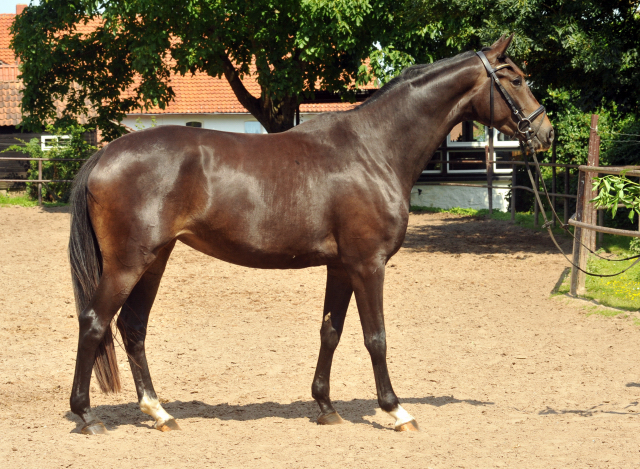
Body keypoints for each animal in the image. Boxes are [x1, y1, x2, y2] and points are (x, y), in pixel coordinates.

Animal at [67, 34, 552, 434]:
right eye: (517, 78)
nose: (544, 132)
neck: (373, 149)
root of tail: (105, 153)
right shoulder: (368, 265)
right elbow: (376, 337)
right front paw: (396, 410)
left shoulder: (341, 266)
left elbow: (330, 332)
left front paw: (325, 407)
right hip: (129, 263)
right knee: (94, 322)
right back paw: (87, 416)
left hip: (155, 259)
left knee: (132, 327)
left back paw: (159, 412)